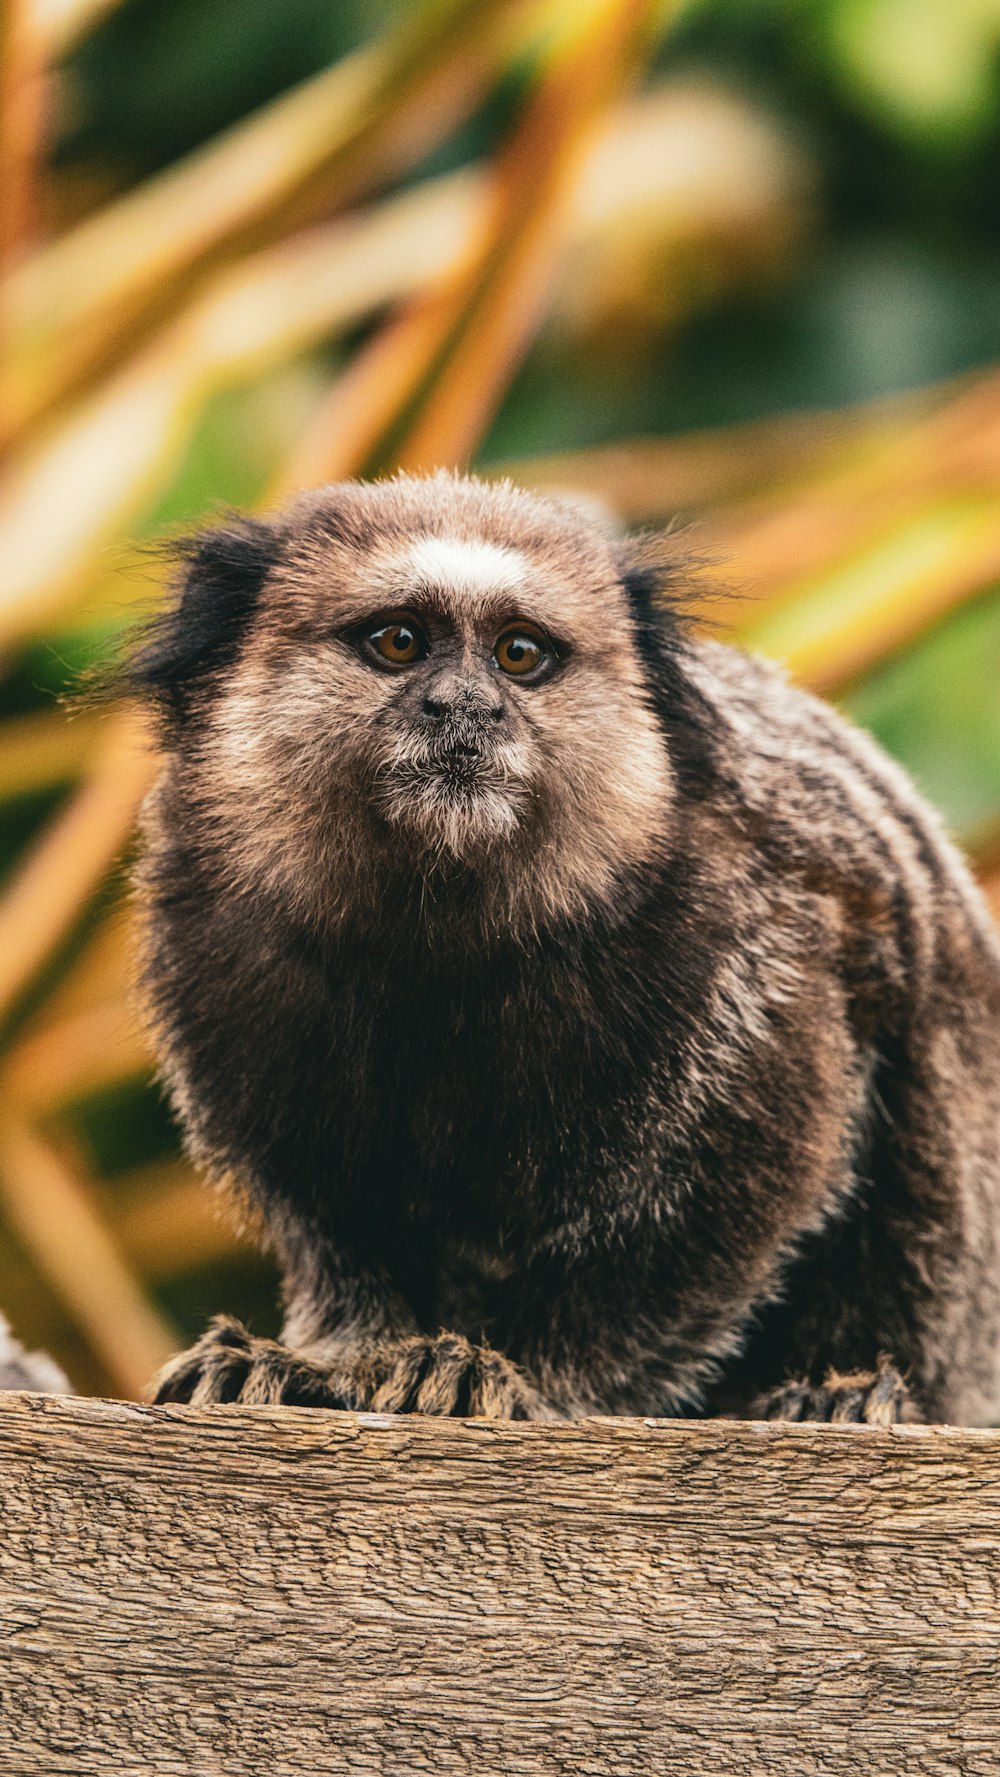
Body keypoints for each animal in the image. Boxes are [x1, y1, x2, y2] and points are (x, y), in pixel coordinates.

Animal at [126, 472, 1000, 1428]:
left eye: (518, 655)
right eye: (400, 642)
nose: (466, 708)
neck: (434, 936)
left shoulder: (745, 952)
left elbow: (736, 1196)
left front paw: (520, 1374)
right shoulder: (213, 938)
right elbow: (333, 1219)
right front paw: (325, 1362)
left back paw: (849, 1391)